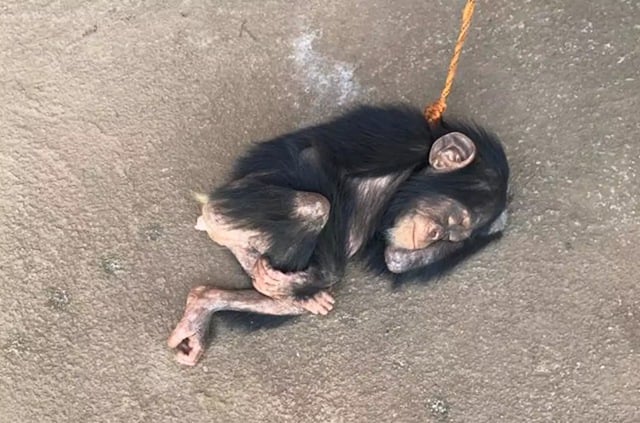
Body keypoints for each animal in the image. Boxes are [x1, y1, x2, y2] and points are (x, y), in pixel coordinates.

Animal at [169, 104, 510, 366]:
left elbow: (395, 259)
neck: (409, 176)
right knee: (315, 207)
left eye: (454, 236)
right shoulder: (399, 138)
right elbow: (313, 157)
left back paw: (207, 303)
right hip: (232, 203)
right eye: (453, 218)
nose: (437, 234)